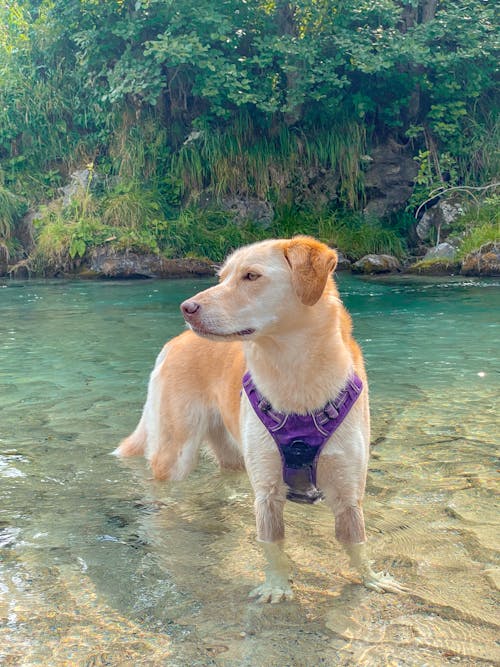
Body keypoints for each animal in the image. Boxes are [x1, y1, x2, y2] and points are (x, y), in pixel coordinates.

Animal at [116, 237, 406, 604]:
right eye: (222, 277)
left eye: (251, 276)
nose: (186, 308)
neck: (296, 380)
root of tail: (175, 341)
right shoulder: (268, 493)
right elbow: (273, 547)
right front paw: (276, 587)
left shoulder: (348, 493)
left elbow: (357, 544)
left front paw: (371, 578)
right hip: (176, 453)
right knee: (160, 484)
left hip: (231, 451)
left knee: (227, 475)